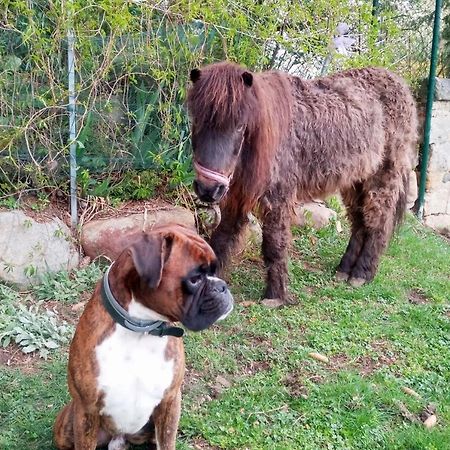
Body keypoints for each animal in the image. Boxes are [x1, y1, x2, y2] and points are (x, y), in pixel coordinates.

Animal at [54, 223, 234, 448]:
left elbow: (167, 442)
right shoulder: (86, 409)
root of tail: (119, 437)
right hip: (67, 424)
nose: (222, 286)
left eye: (215, 270)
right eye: (194, 279)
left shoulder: (170, 401)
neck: (141, 328)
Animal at [185, 61, 414, 304]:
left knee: (377, 223)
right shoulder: (237, 196)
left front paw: (275, 296)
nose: (207, 189)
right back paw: (344, 270)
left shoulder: (277, 197)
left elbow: (274, 243)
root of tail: (398, 81)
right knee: (360, 222)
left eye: (240, 126)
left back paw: (362, 273)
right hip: (355, 181)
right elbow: (220, 239)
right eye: (197, 120)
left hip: (382, 178)